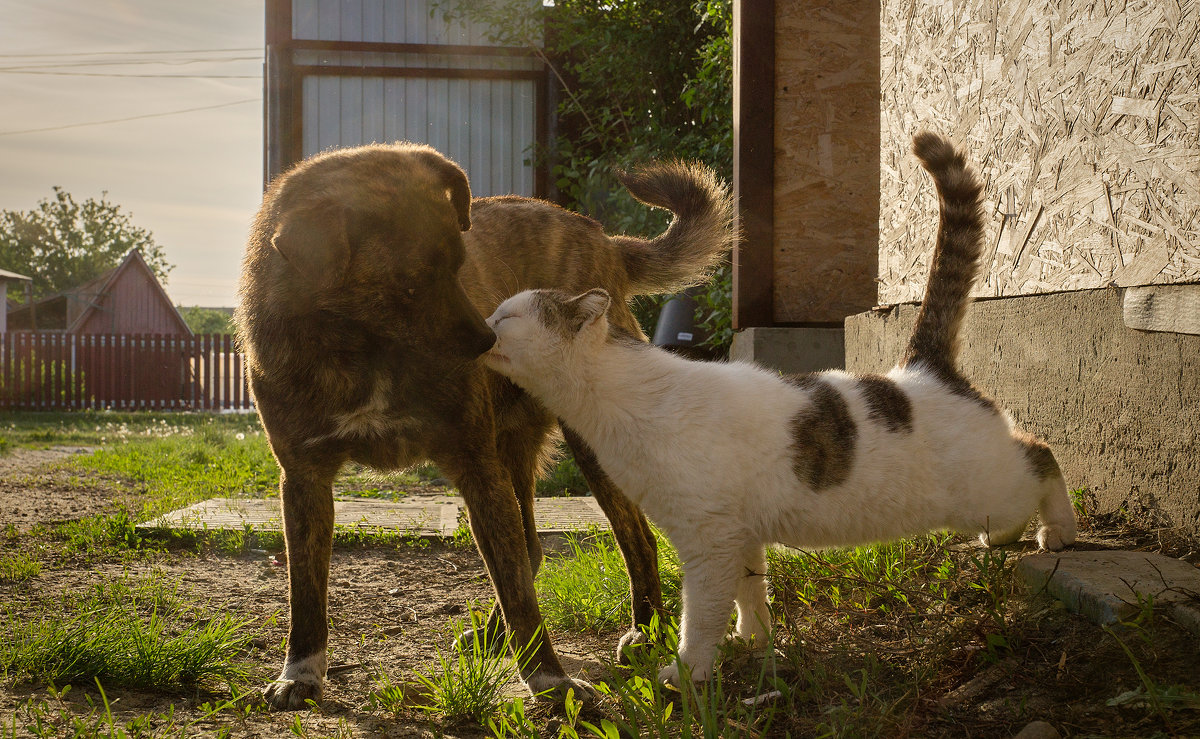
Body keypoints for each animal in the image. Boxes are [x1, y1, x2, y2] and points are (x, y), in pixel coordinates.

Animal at [229, 141, 724, 705]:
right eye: (411, 284)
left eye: (459, 266)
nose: (489, 342)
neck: (362, 346)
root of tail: (604, 239)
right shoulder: (304, 479)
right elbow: (305, 592)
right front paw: (300, 672)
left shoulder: (474, 463)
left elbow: (519, 593)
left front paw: (550, 681)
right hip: (510, 451)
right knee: (530, 546)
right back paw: (496, 635)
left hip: (583, 444)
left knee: (633, 537)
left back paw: (646, 632)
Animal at [477, 131, 1080, 681]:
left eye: (507, 316)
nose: (479, 323)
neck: (623, 398)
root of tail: (921, 369)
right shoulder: (739, 535)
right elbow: (751, 596)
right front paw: (755, 643)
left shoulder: (707, 542)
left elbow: (701, 617)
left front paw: (687, 673)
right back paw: (1013, 536)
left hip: (986, 489)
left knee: (1042, 455)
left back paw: (1057, 531)